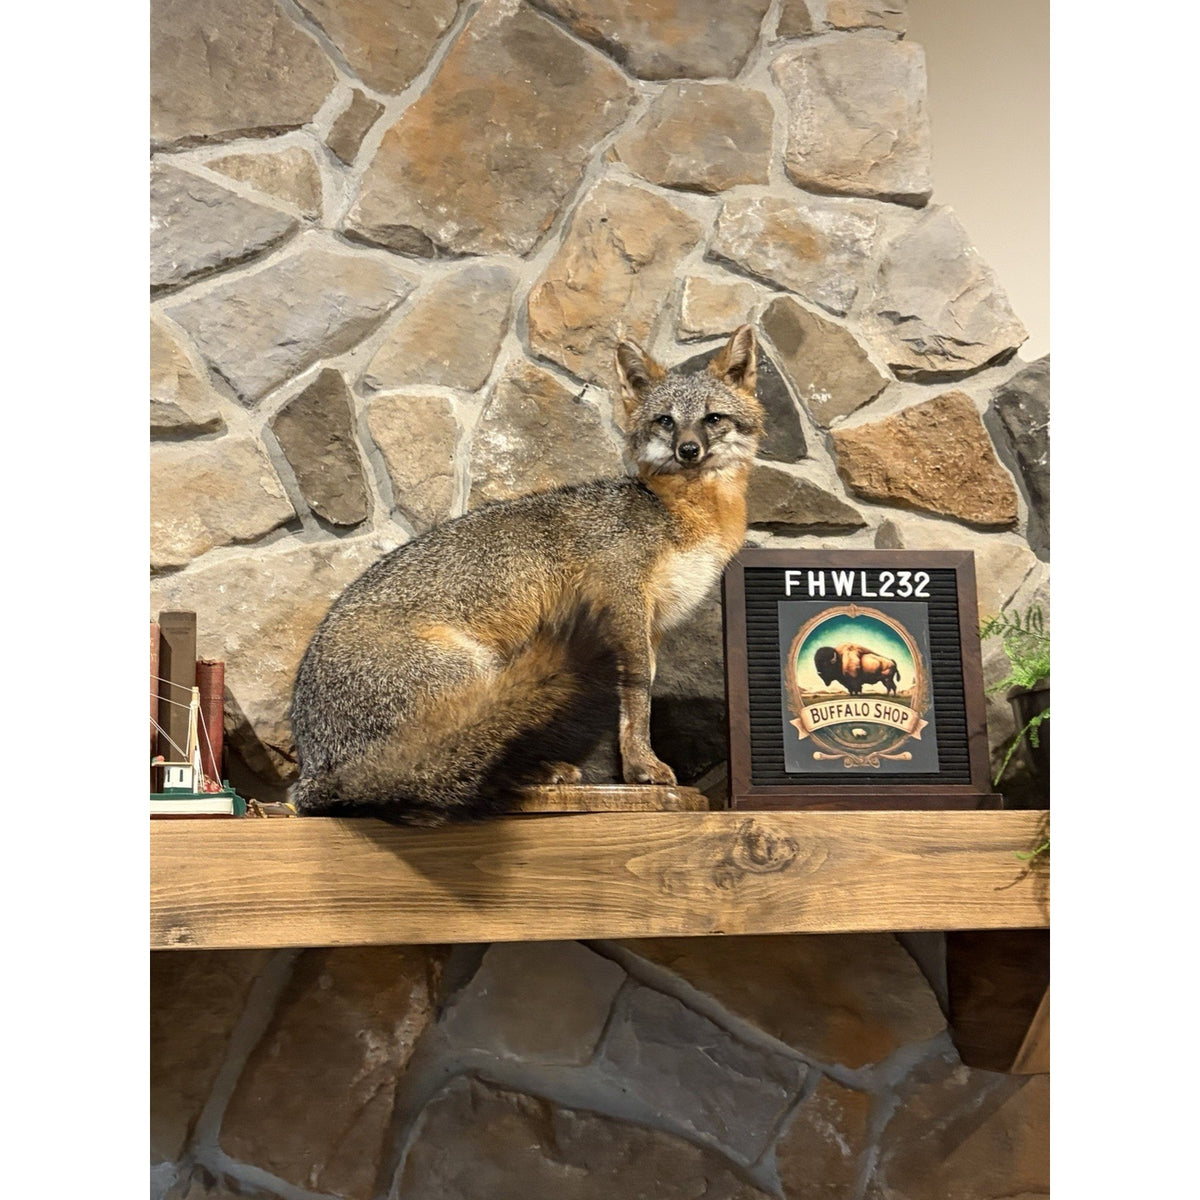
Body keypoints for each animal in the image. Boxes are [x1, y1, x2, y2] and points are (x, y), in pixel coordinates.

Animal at [288, 323, 765, 824]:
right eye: (666, 421)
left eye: (713, 419)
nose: (689, 450)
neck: (683, 514)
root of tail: (313, 772)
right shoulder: (625, 604)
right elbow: (638, 692)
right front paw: (642, 767)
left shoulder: (648, 624)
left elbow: (638, 694)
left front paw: (636, 764)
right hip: (476, 670)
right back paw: (537, 770)